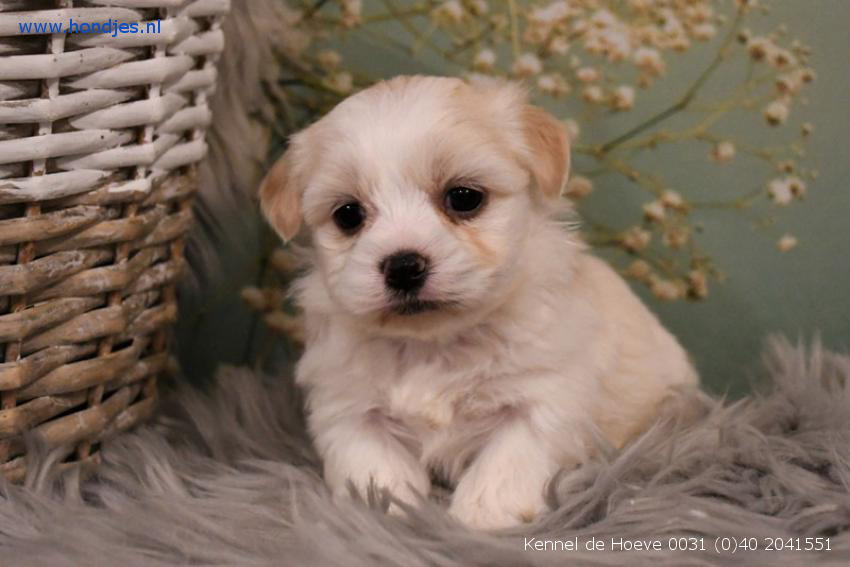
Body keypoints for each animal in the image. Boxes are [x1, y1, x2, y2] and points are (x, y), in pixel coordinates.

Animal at [256, 73, 696, 532]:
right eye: (348, 215)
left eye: (464, 197)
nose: (403, 266)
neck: (434, 345)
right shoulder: (346, 405)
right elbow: (373, 461)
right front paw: (385, 508)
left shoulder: (544, 396)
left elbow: (508, 459)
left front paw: (484, 516)